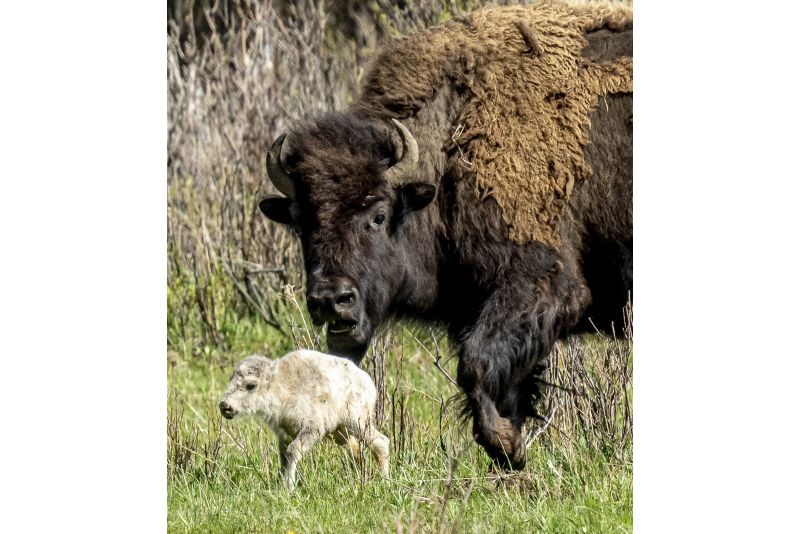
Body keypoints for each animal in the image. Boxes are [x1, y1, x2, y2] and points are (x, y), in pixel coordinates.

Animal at [257, 1, 633, 469]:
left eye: (378, 215)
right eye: (300, 222)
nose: (331, 300)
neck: (454, 145)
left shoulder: (542, 284)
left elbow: (475, 366)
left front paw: (506, 446)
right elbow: (501, 384)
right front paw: (511, 451)